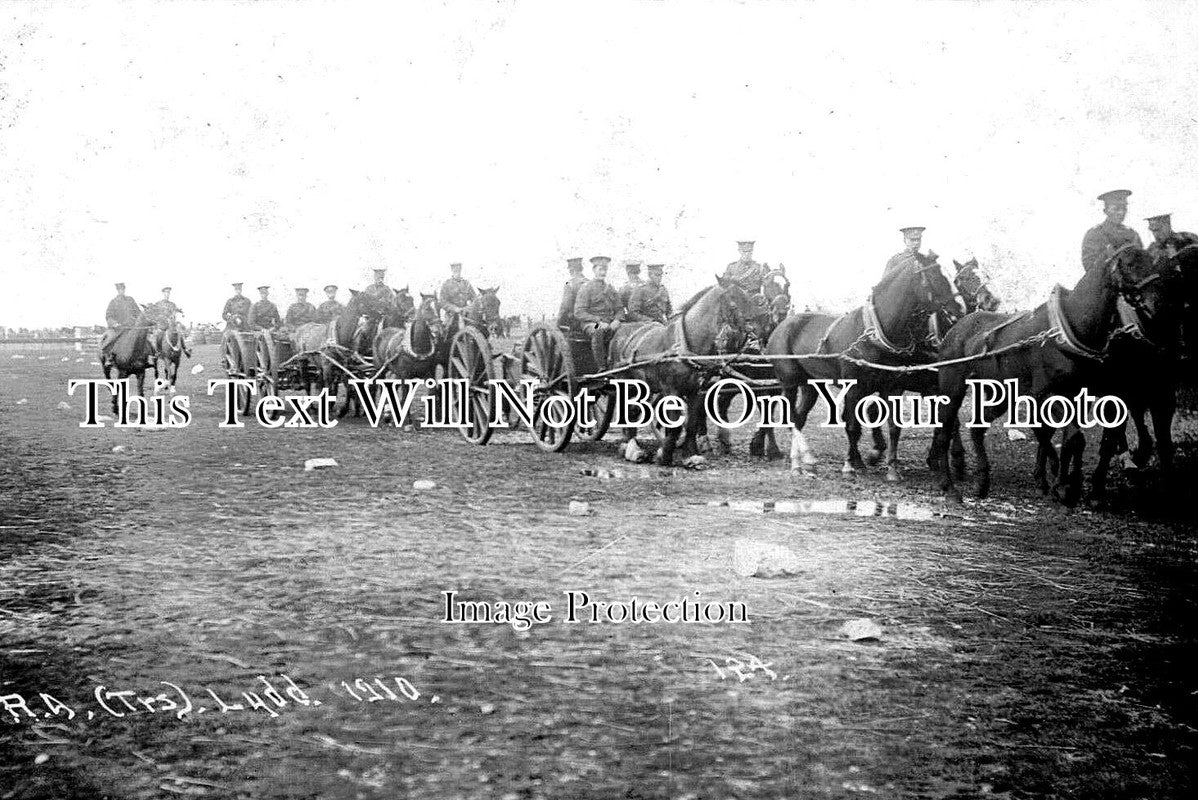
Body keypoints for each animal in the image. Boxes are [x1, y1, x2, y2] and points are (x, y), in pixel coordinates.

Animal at [766, 259, 963, 479]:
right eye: (936, 275)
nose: (960, 308)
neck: (875, 334)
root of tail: (782, 325)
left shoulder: (893, 387)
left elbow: (894, 426)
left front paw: (892, 469)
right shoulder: (856, 387)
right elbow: (853, 425)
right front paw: (850, 465)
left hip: (811, 385)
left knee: (799, 418)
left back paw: (805, 461)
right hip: (789, 382)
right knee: (791, 417)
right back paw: (799, 462)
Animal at [929, 245, 1154, 505]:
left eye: (1149, 261)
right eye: (1129, 264)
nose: (1153, 299)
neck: (1064, 331)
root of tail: (955, 330)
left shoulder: (1078, 397)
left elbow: (1071, 440)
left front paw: (1067, 483)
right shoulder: (1043, 394)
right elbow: (1052, 434)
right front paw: (1058, 483)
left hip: (1001, 394)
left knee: (977, 428)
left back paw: (983, 481)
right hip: (952, 387)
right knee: (945, 430)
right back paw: (949, 486)